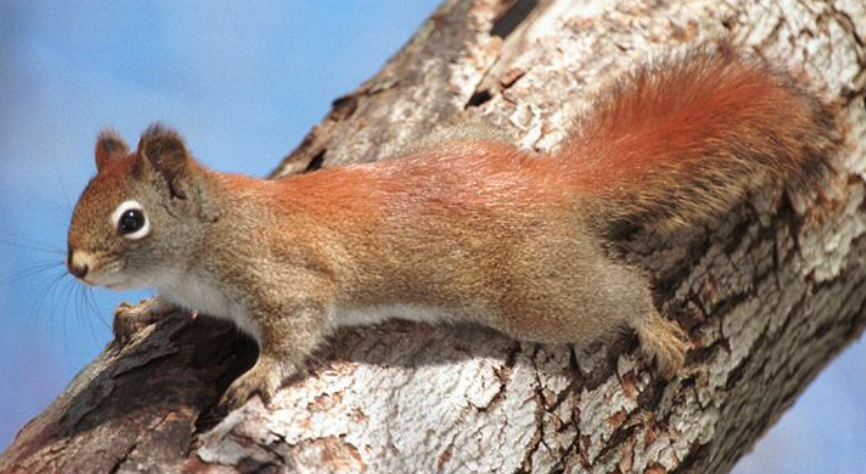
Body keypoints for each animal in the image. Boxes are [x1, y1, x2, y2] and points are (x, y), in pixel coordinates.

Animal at [67, 44, 837, 410]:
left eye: (131, 220)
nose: (76, 266)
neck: (210, 231)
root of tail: (554, 183)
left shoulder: (283, 279)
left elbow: (293, 334)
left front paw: (255, 378)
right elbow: (172, 309)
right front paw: (143, 312)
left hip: (540, 294)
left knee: (620, 293)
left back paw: (654, 329)